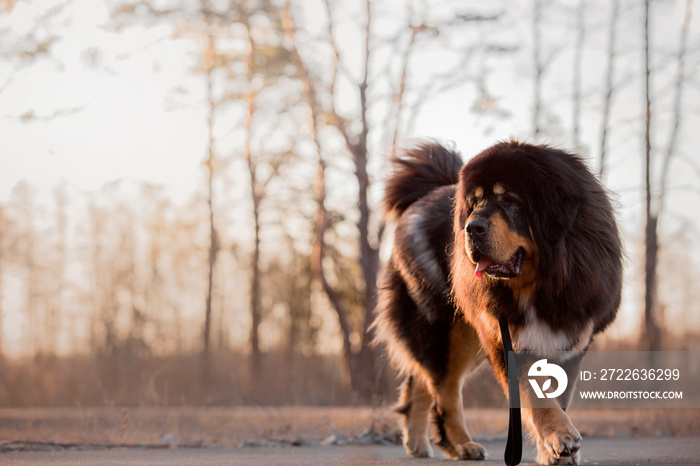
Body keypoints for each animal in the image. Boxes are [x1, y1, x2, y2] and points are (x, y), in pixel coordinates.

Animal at [374, 140, 620, 464]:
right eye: (475, 202)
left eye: (510, 199)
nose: (471, 227)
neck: (540, 286)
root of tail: (423, 197)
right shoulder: (506, 338)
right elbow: (535, 394)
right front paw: (560, 437)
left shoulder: (572, 340)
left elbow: (557, 395)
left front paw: (554, 452)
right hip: (447, 330)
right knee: (444, 391)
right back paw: (461, 444)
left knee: (423, 381)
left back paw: (419, 442)